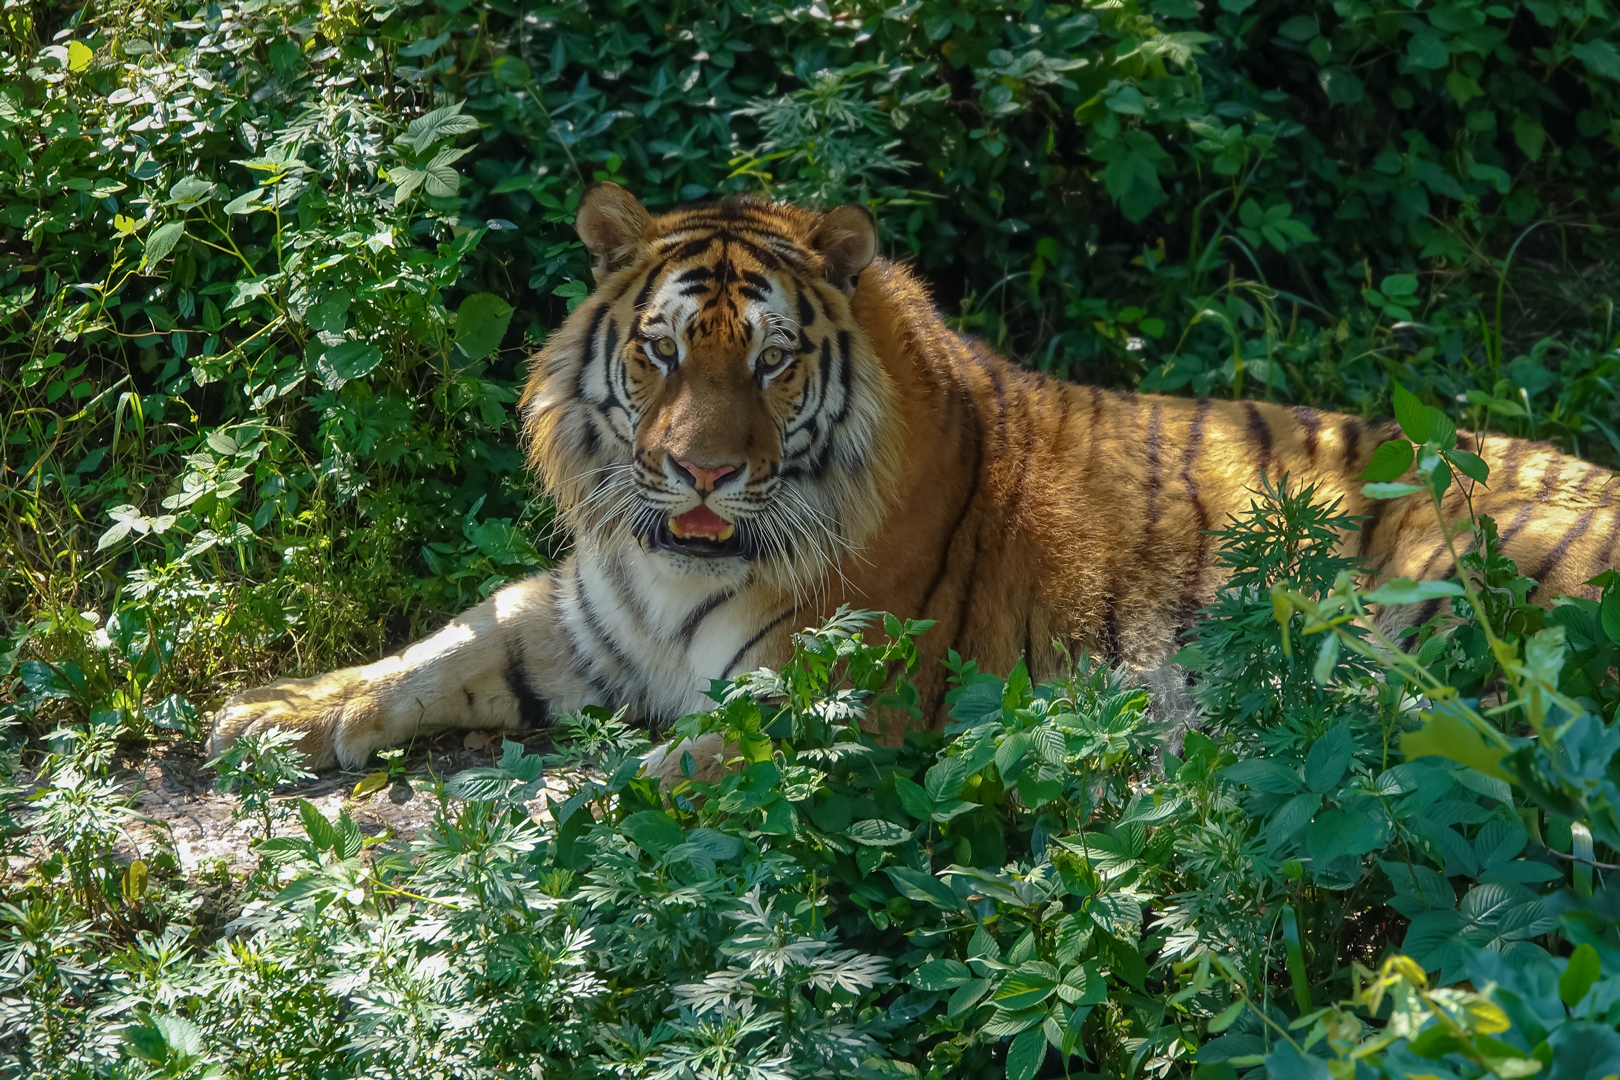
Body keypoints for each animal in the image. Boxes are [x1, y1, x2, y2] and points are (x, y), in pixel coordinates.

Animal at [209, 182, 1620, 777]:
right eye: (661, 351)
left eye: (772, 362)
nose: (702, 472)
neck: (670, 563)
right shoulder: (582, 608)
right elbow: (445, 646)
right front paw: (279, 711)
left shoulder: (832, 700)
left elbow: (652, 791)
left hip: (1447, 592)